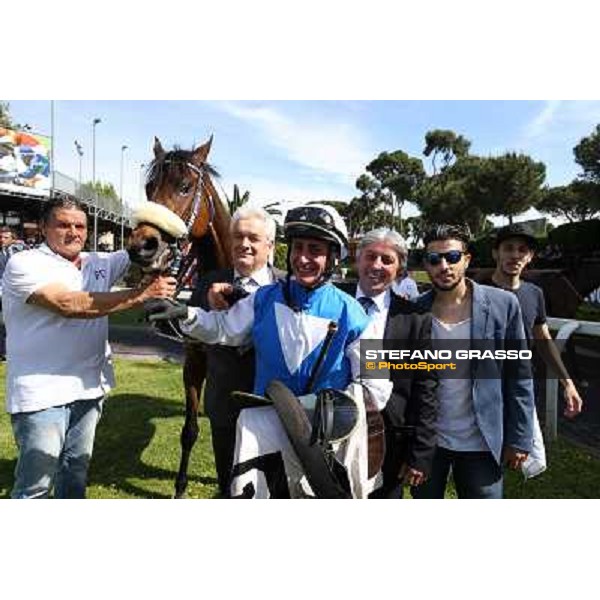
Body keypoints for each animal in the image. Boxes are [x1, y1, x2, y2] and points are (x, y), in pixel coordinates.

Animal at [130, 135, 233, 496]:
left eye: (185, 186)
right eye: (149, 187)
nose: (142, 246)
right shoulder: (194, 359)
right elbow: (189, 431)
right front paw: (179, 487)